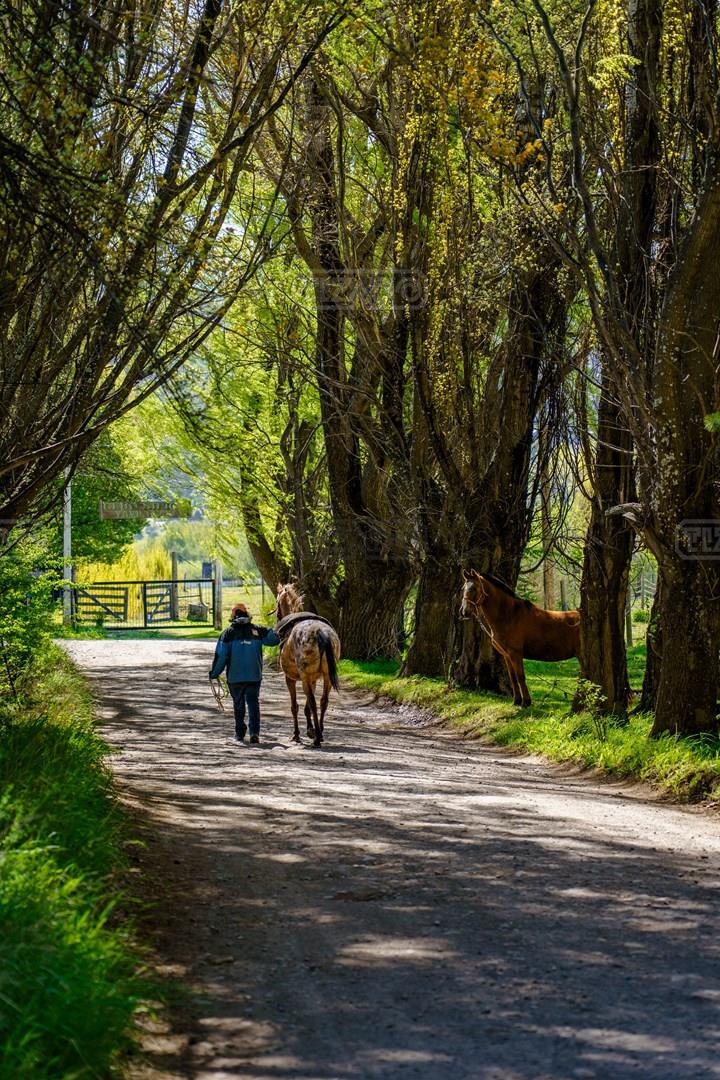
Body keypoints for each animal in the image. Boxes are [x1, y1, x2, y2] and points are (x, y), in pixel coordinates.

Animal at [275, 583, 341, 747]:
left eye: (277, 602)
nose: (277, 615)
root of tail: (321, 632)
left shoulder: (291, 679)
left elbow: (295, 707)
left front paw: (297, 734)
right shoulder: (313, 679)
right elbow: (306, 708)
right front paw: (310, 729)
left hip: (304, 676)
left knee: (313, 702)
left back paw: (317, 738)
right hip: (327, 676)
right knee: (323, 701)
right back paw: (320, 732)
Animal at [460, 569, 580, 707]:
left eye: (474, 588)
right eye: (463, 588)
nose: (464, 612)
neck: (509, 615)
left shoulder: (516, 653)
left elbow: (520, 676)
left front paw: (526, 702)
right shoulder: (507, 655)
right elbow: (513, 677)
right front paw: (516, 701)